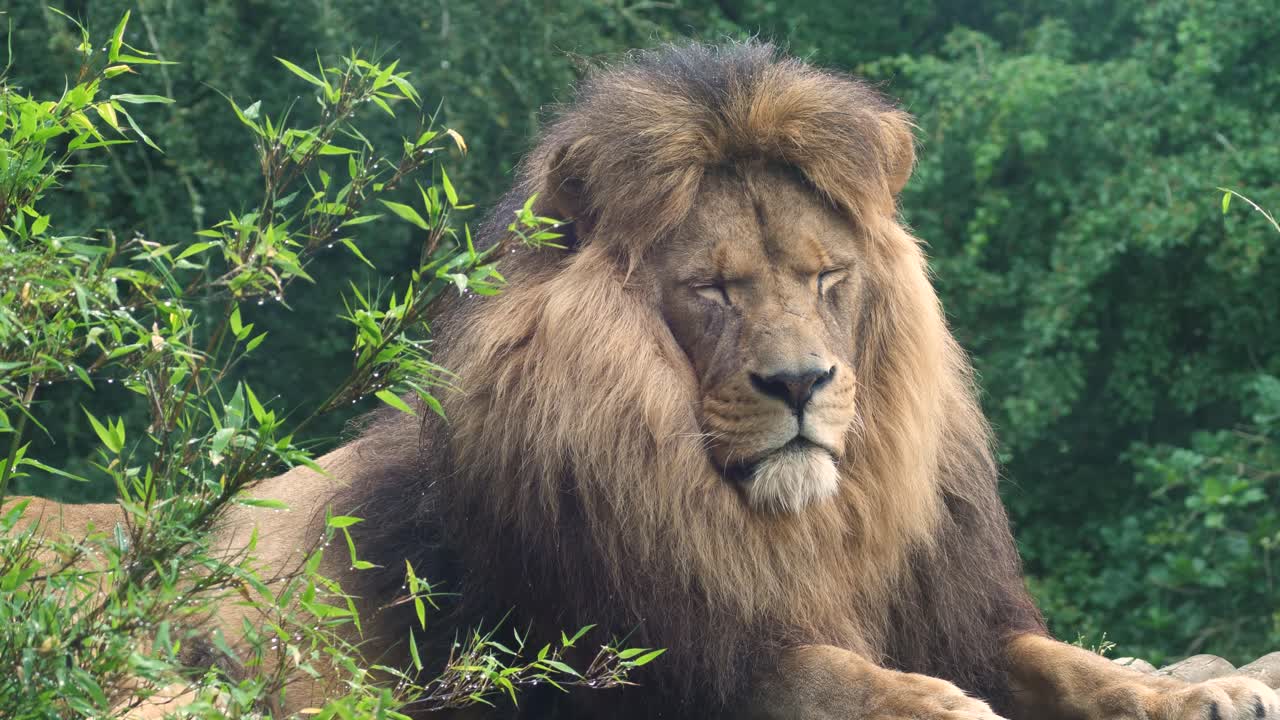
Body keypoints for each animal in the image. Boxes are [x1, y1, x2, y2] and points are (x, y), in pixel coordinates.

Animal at [10, 41, 1280, 719]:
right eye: (710, 289)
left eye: (826, 276)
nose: (801, 383)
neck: (793, 526)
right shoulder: (612, 661)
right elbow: (816, 671)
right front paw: (931, 704)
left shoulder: (952, 605)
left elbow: (1062, 662)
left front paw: (1193, 692)